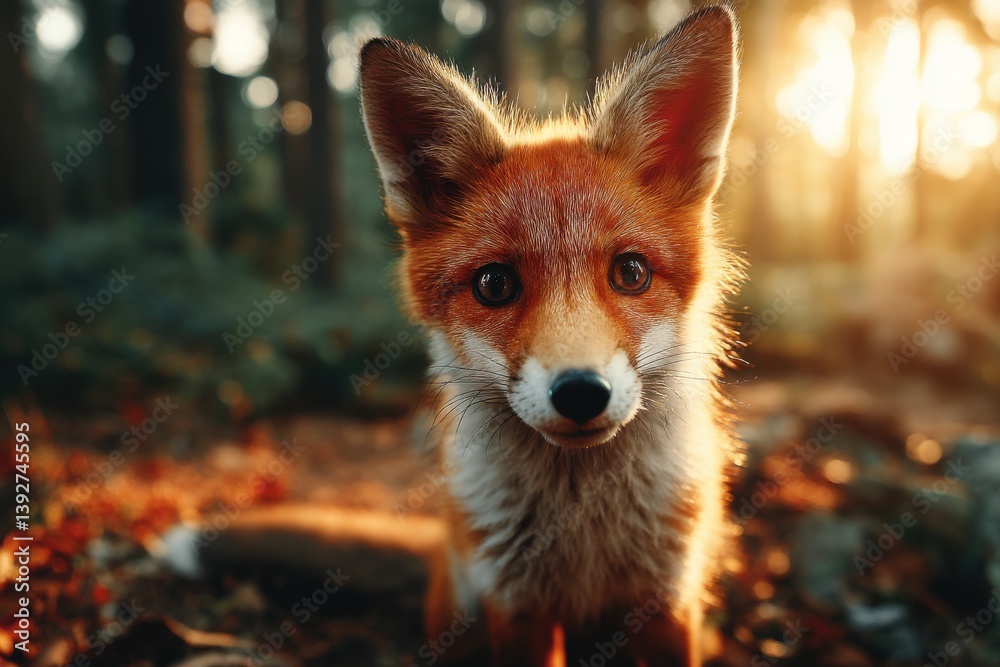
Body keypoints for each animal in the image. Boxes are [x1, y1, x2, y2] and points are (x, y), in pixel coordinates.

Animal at [359, 6, 743, 666]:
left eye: (631, 273)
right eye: (494, 285)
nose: (581, 392)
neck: (581, 529)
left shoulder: (667, 599)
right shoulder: (517, 606)